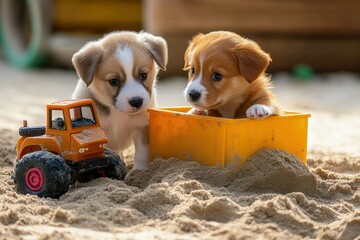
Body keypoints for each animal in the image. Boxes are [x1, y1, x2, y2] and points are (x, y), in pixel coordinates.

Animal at [71, 31, 168, 170]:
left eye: (143, 75)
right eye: (114, 81)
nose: (136, 101)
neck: (117, 113)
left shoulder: (141, 127)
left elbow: (141, 154)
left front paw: (139, 171)